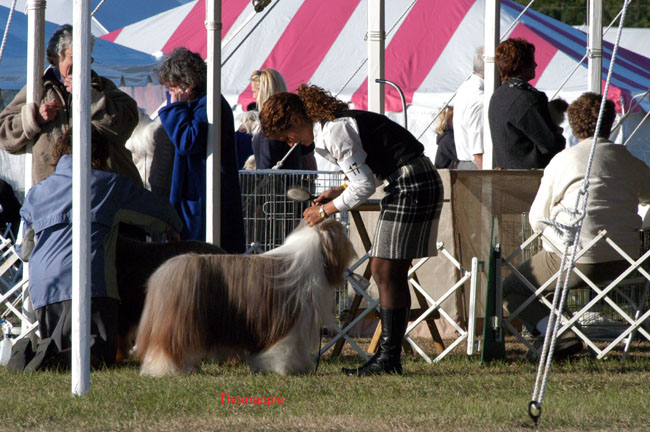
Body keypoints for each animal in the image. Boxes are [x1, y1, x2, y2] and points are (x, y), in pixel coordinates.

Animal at [135, 219, 356, 376]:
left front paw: (299, 367)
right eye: (341, 232)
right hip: (180, 323)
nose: (353, 249)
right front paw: (283, 369)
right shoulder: (288, 321)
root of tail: (164, 272)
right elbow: (284, 348)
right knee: (167, 348)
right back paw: (166, 369)